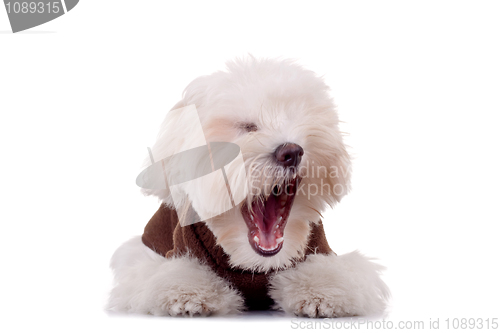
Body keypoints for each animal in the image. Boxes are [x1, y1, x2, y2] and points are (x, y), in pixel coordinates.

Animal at [108, 56, 390, 316]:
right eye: (248, 127)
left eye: (304, 119)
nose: (292, 152)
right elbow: (176, 273)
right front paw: (189, 292)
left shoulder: (321, 248)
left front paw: (323, 293)